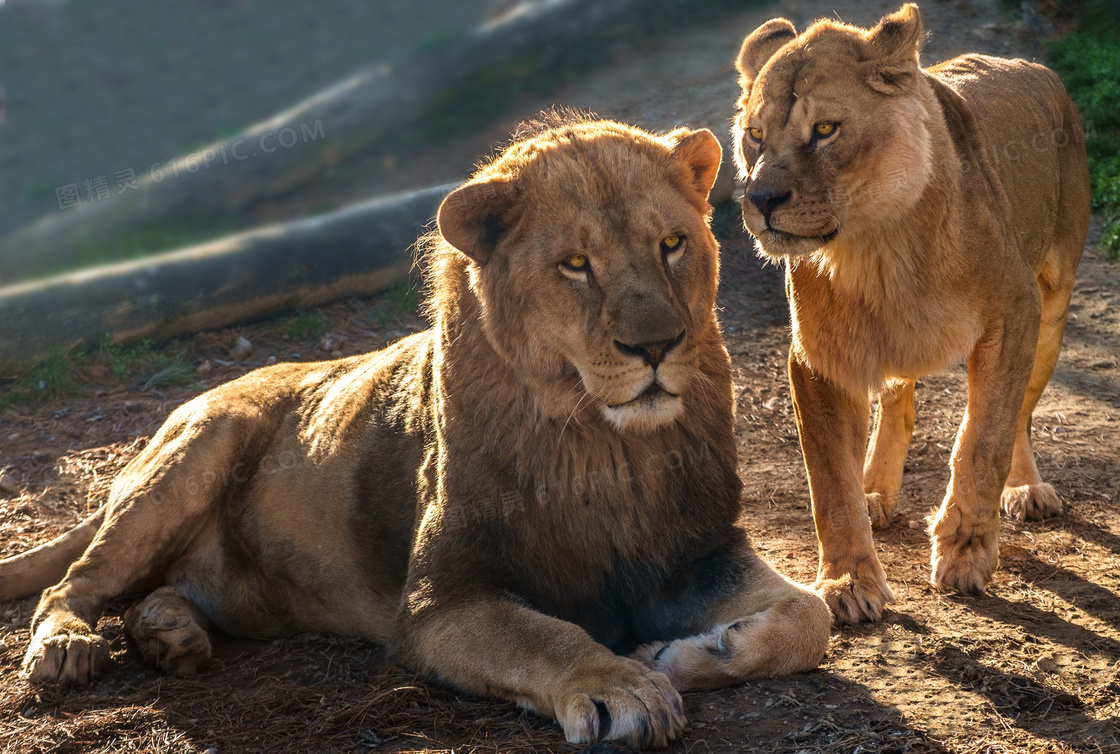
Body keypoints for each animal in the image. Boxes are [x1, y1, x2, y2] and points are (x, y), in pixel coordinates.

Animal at [2, 115, 833, 748]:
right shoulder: (439, 602)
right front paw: (621, 686)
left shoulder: (697, 553)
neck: (602, 445)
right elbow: (548, 636)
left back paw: (170, 634)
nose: (658, 346)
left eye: (671, 244)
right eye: (575, 264)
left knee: (153, 594)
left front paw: (679, 654)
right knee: (75, 585)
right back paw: (70, 646)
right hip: (197, 450)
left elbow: (810, 614)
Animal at [730, 2, 1088, 618]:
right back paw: (876, 490)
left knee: (1020, 414)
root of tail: (1034, 66)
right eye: (755, 135)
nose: (761, 200)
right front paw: (848, 582)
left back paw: (1025, 488)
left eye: (825, 130)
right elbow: (831, 481)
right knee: (898, 404)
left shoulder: (1013, 312)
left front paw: (964, 550)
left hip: (1053, 307)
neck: (877, 246)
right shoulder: (819, 357)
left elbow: (984, 439)